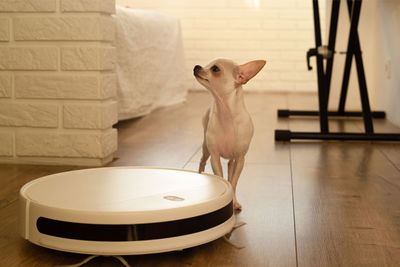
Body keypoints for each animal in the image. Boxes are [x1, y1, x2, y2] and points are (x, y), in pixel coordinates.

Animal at [194, 59, 266, 211]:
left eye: (215, 69)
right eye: (207, 64)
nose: (197, 66)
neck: (226, 115)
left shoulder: (240, 159)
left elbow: (233, 183)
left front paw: (234, 202)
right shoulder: (214, 157)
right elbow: (222, 178)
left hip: (232, 159)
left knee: (229, 167)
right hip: (206, 149)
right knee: (202, 162)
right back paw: (199, 175)